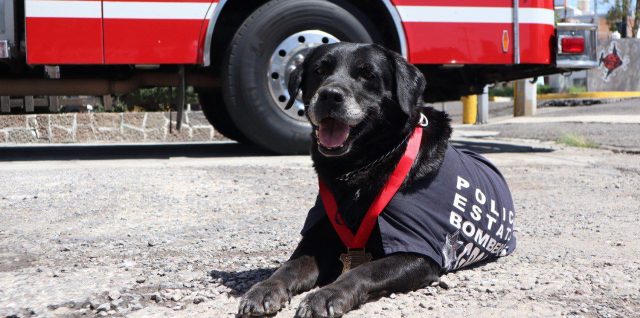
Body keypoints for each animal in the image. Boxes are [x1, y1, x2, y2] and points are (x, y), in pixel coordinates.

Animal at [238, 42, 516, 318]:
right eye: (319, 70)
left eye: (368, 75)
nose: (329, 95)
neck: (362, 168)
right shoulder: (319, 236)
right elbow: (290, 266)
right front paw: (264, 289)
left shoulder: (417, 251)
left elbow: (363, 270)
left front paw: (328, 294)